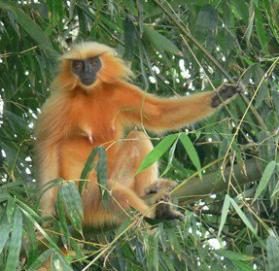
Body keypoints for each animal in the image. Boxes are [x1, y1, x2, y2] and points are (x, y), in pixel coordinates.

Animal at [35, 41, 241, 227]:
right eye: (77, 66)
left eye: (94, 63)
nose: (86, 72)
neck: (91, 93)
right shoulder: (60, 102)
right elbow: (47, 145)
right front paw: (46, 215)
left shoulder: (118, 90)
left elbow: (159, 113)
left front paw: (219, 96)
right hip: (81, 200)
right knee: (111, 193)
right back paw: (157, 214)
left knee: (137, 138)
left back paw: (150, 192)